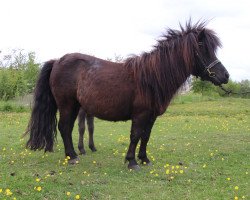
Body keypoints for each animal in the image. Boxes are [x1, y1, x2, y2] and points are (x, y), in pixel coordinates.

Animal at [24, 21, 229, 170]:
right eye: (204, 50)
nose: (225, 76)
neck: (152, 77)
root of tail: (57, 61)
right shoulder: (140, 114)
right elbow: (135, 136)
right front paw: (131, 162)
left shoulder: (151, 116)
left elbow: (146, 136)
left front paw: (144, 159)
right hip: (68, 105)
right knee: (65, 128)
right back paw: (72, 156)